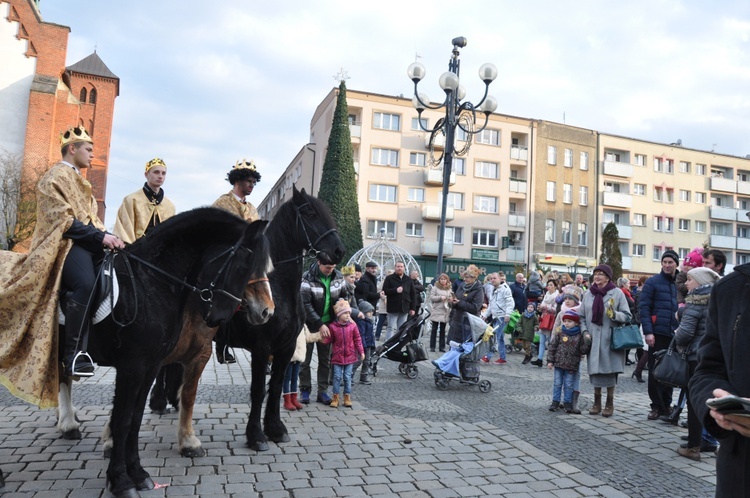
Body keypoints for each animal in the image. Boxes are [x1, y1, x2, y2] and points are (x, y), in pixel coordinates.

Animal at [72, 208, 274, 496]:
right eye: (244, 267)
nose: (266, 311)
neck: (149, 282)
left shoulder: (155, 364)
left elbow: (137, 417)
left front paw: (140, 473)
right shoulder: (132, 366)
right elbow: (123, 418)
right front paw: (120, 480)